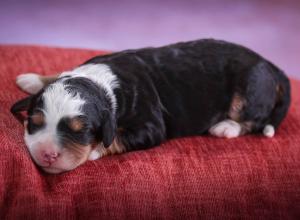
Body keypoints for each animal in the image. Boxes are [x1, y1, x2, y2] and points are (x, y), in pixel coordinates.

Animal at [10, 39, 290, 174]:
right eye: (34, 123)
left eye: (81, 132)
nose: (47, 154)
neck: (102, 83)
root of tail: (269, 64)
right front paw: (33, 79)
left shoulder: (151, 127)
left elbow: (114, 138)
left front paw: (92, 151)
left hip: (249, 91)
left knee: (254, 119)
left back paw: (226, 127)